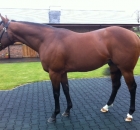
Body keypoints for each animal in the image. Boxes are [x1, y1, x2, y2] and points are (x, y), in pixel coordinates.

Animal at [0, 14, 140, 123]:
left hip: (126, 69)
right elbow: (66, 89)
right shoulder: (62, 72)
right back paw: (106, 107)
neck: (47, 39)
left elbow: (56, 93)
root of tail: (134, 35)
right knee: (115, 85)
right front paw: (67, 111)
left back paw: (129, 114)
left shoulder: (54, 73)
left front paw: (54, 115)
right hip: (114, 66)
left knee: (132, 87)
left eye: (0, 28)